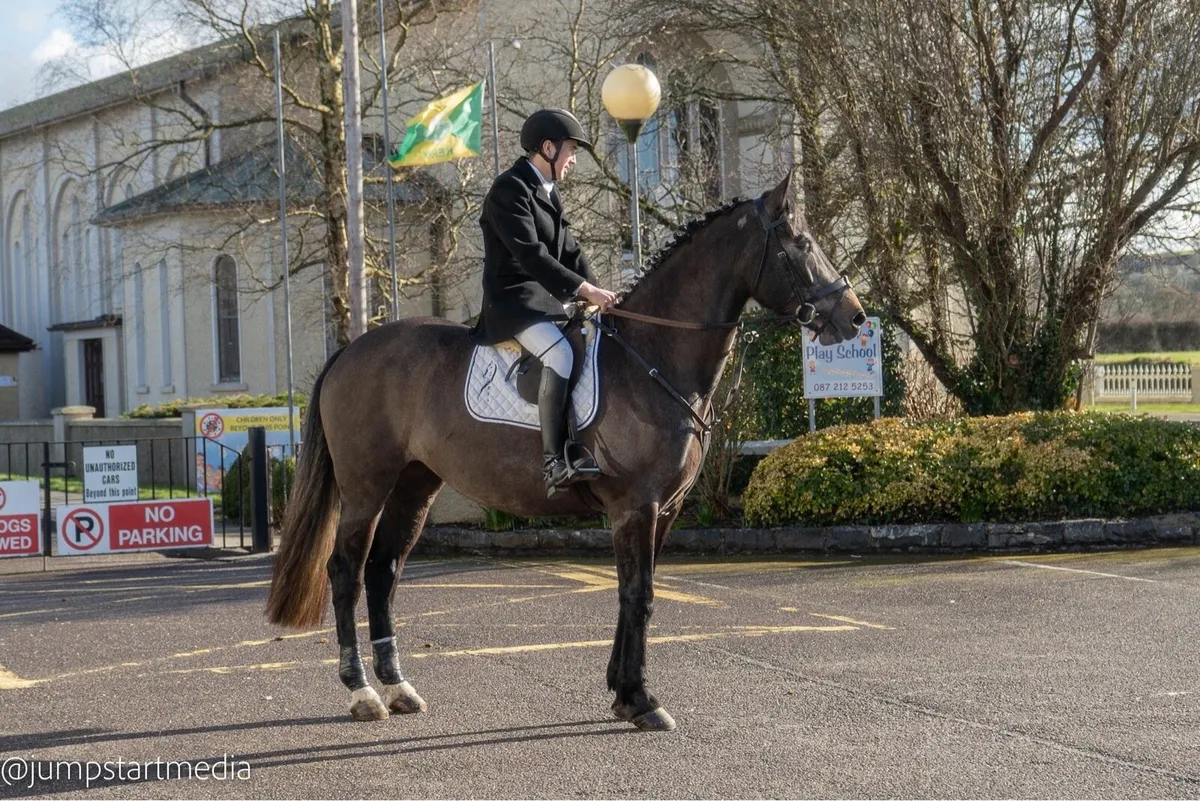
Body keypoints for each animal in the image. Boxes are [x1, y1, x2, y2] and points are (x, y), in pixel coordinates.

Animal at [266, 170, 867, 730]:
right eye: (800, 243)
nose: (855, 317)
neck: (653, 355)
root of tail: (350, 350)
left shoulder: (665, 510)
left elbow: (633, 594)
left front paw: (622, 691)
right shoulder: (636, 505)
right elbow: (640, 595)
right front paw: (642, 700)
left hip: (415, 484)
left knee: (383, 570)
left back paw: (398, 687)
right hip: (365, 486)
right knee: (346, 570)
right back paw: (362, 692)